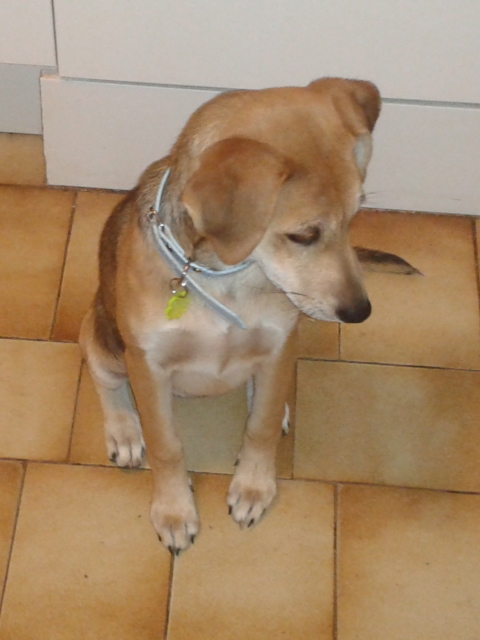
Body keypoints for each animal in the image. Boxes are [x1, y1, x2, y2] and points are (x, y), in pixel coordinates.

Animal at [80, 77, 415, 554]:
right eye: (303, 235)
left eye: (354, 218)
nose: (359, 312)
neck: (227, 278)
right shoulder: (147, 363)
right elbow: (167, 446)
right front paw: (173, 510)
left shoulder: (278, 345)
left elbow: (260, 425)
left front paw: (253, 487)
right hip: (102, 339)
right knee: (106, 381)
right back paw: (124, 430)